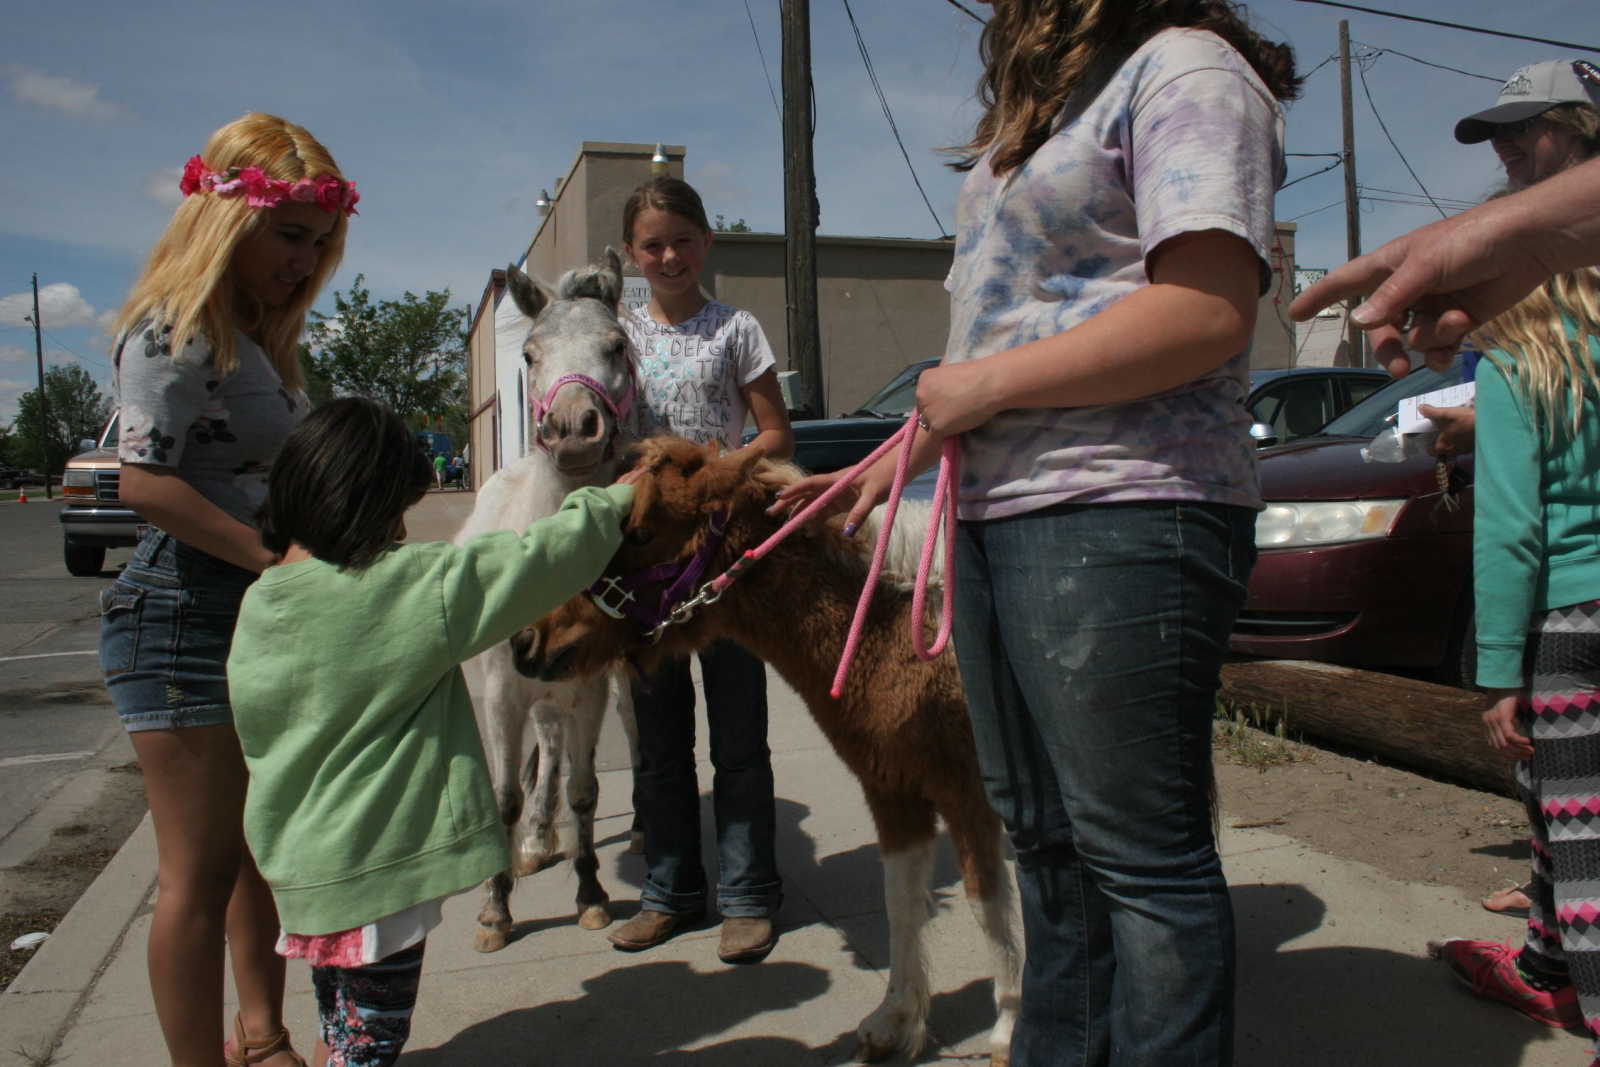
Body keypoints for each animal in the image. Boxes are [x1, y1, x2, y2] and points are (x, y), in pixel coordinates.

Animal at [455, 248, 641, 951]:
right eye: (531, 354)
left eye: (618, 346)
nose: (572, 430)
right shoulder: (502, 697)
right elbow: (505, 796)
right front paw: (496, 909)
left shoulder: (587, 691)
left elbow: (585, 792)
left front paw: (592, 895)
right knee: (546, 750)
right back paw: (533, 843)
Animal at [514, 436, 1023, 1065]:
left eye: (639, 532)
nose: (527, 641)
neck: (908, 633)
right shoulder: (893, 791)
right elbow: (902, 899)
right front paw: (895, 1020)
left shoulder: (971, 794)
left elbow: (988, 900)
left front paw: (1009, 1032)